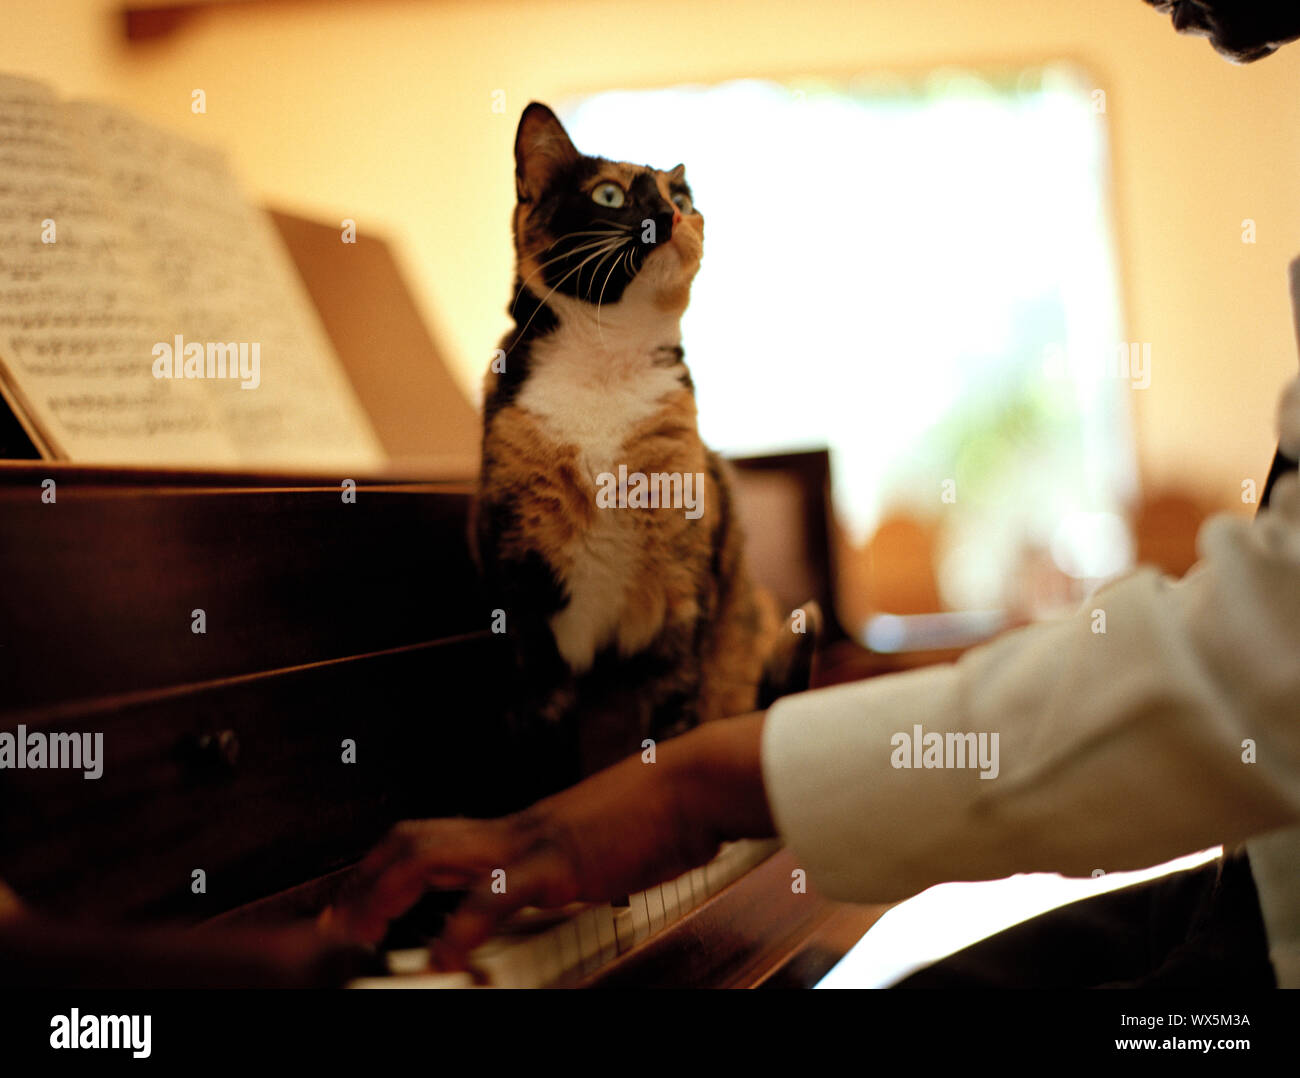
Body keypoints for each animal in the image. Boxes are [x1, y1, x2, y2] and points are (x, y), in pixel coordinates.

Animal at [470, 105, 811, 785]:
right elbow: (547, 732)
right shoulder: (526, 600)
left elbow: (673, 712)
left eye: (682, 198)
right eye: (610, 195)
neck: (606, 368)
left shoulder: (681, 593)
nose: (673, 215)